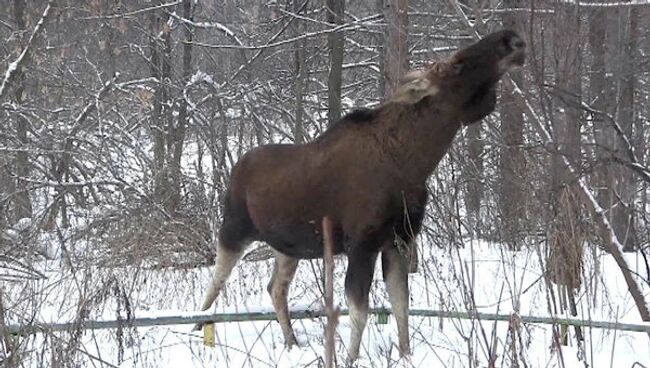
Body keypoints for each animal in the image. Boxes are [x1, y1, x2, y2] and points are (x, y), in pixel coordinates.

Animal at [195, 30, 524, 362]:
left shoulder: (399, 240)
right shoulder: (363, 243)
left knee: (275, 288)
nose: (511, 39)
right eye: (455, 64)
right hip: (234, 229)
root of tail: (237, 166)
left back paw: (290, 340)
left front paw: (405, 354)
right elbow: (359, 310)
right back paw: (197, 329)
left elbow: (400, 304)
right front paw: (351, 357)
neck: (414, 163)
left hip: (289, 247)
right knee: (215, 281)